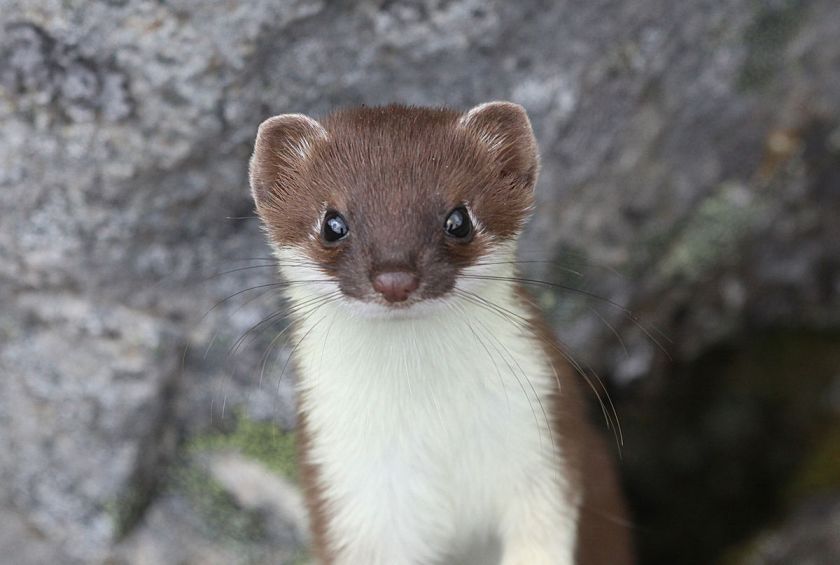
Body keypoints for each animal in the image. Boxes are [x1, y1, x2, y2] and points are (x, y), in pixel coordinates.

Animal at [246, 102, 632, 564]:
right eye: (332, 223)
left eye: (458, 219)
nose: (395, 278)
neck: (432, 419)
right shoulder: (350, 486)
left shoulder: (544, 443)